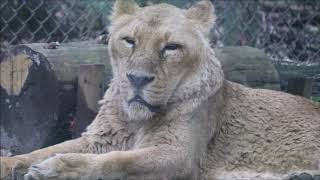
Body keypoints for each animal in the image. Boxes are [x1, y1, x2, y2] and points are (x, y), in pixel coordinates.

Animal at [0, 0, 320, 180]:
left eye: (171, 47)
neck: (135, 120)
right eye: (129, 41)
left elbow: (119, 161)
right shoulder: (98, 139)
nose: (138, 79)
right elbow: (38, 151)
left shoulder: (180, 156)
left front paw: (57, 170)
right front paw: (12, 164)